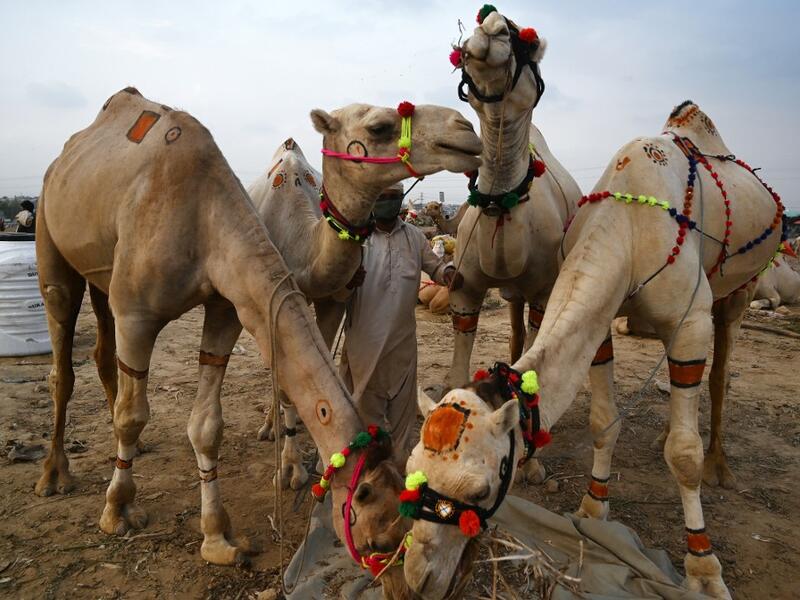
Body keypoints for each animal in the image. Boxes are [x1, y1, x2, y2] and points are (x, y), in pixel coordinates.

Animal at [247, 105, 482, 489]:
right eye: (379, 127)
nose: (465, 127)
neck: (301, 245)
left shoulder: (332, 300)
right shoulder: (268, 300)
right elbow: (285, 381)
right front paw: (290, 468)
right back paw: (269, 426)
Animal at [403, 100, 786, 599]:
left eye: (480, 492)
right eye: (412, 468)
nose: (418, 577)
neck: (630, 230)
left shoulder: (689, 325)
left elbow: (685, 455)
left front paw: (704, 569)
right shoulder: (602, 323)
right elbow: (604, 422)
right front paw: (592, 509)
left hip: (741, 288)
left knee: (720, 373)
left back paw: (719, 465)